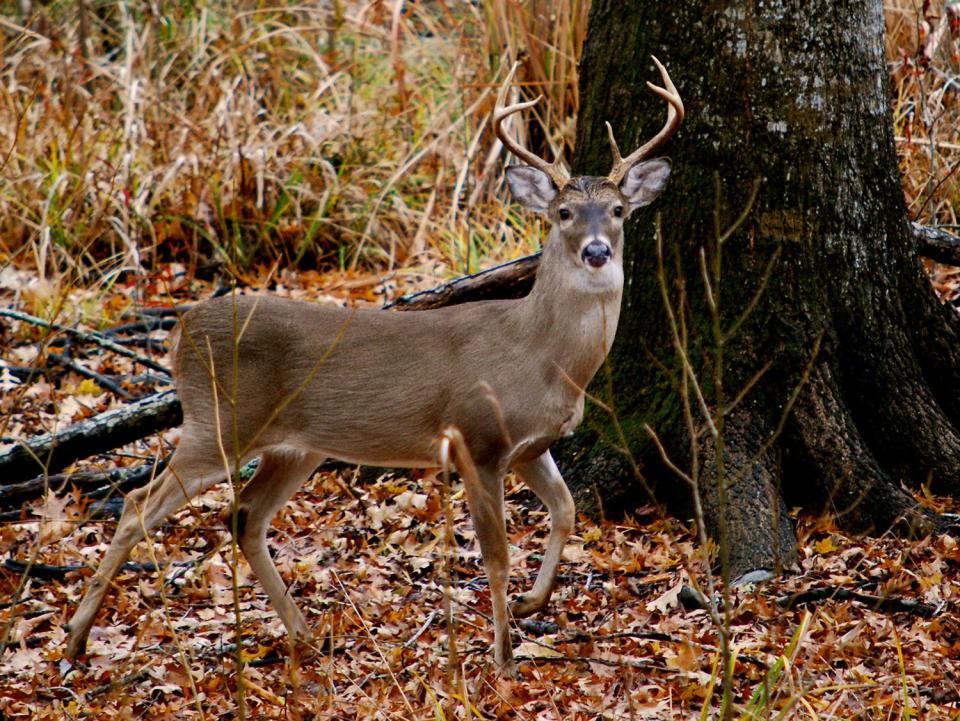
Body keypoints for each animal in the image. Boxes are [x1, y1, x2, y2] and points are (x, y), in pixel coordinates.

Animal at [63, 57, 684, 676]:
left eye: (619, 210)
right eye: (563, 213)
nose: (597, 251)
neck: (540, 353)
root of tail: (180, 330)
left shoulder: (531, 444)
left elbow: (566, 510)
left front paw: (534, 601)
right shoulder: (476, 437)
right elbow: (497, 554)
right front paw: (505, 657)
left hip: (296, 446)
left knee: (244, 515)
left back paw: (304, 635)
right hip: (220, 419)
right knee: (139, 507)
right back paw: (74, 643)